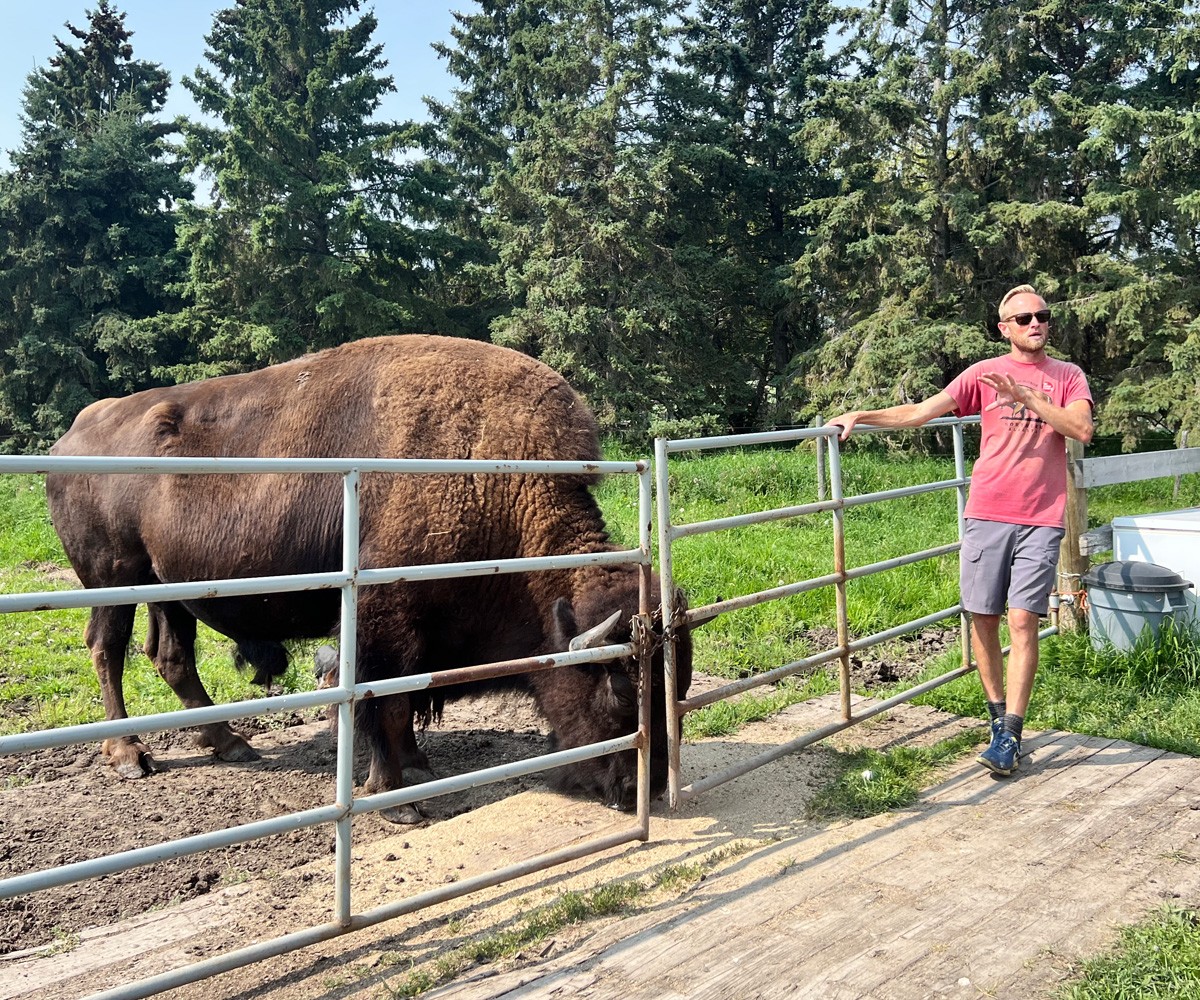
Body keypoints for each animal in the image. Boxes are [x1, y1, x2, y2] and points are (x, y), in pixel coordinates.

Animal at [49, 333, 696, 821]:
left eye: (680, 683)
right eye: (619, 690)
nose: (642, 790)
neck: (500, 482)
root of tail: (71, 436)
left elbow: (405, 700)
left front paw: (416, 765)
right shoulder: (381, 619)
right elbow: (381, 698)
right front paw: (395, 797)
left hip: (167, 590)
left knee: (170, 654)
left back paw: (232, 743)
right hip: (112, 580)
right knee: (107, 648)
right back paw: (129, 754)